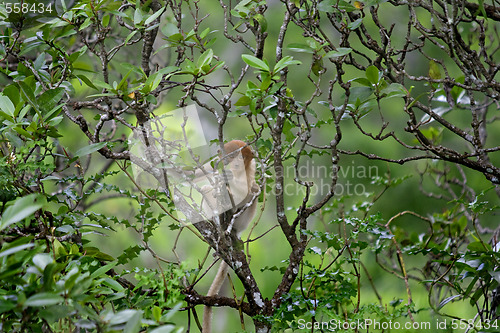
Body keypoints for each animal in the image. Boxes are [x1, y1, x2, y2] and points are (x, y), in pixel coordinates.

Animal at [202, 139, 260, 332]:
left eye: (241, 159)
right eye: (229, 156)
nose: (233, 166)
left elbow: (248, 187)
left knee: (253, 191)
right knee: (206, 190)